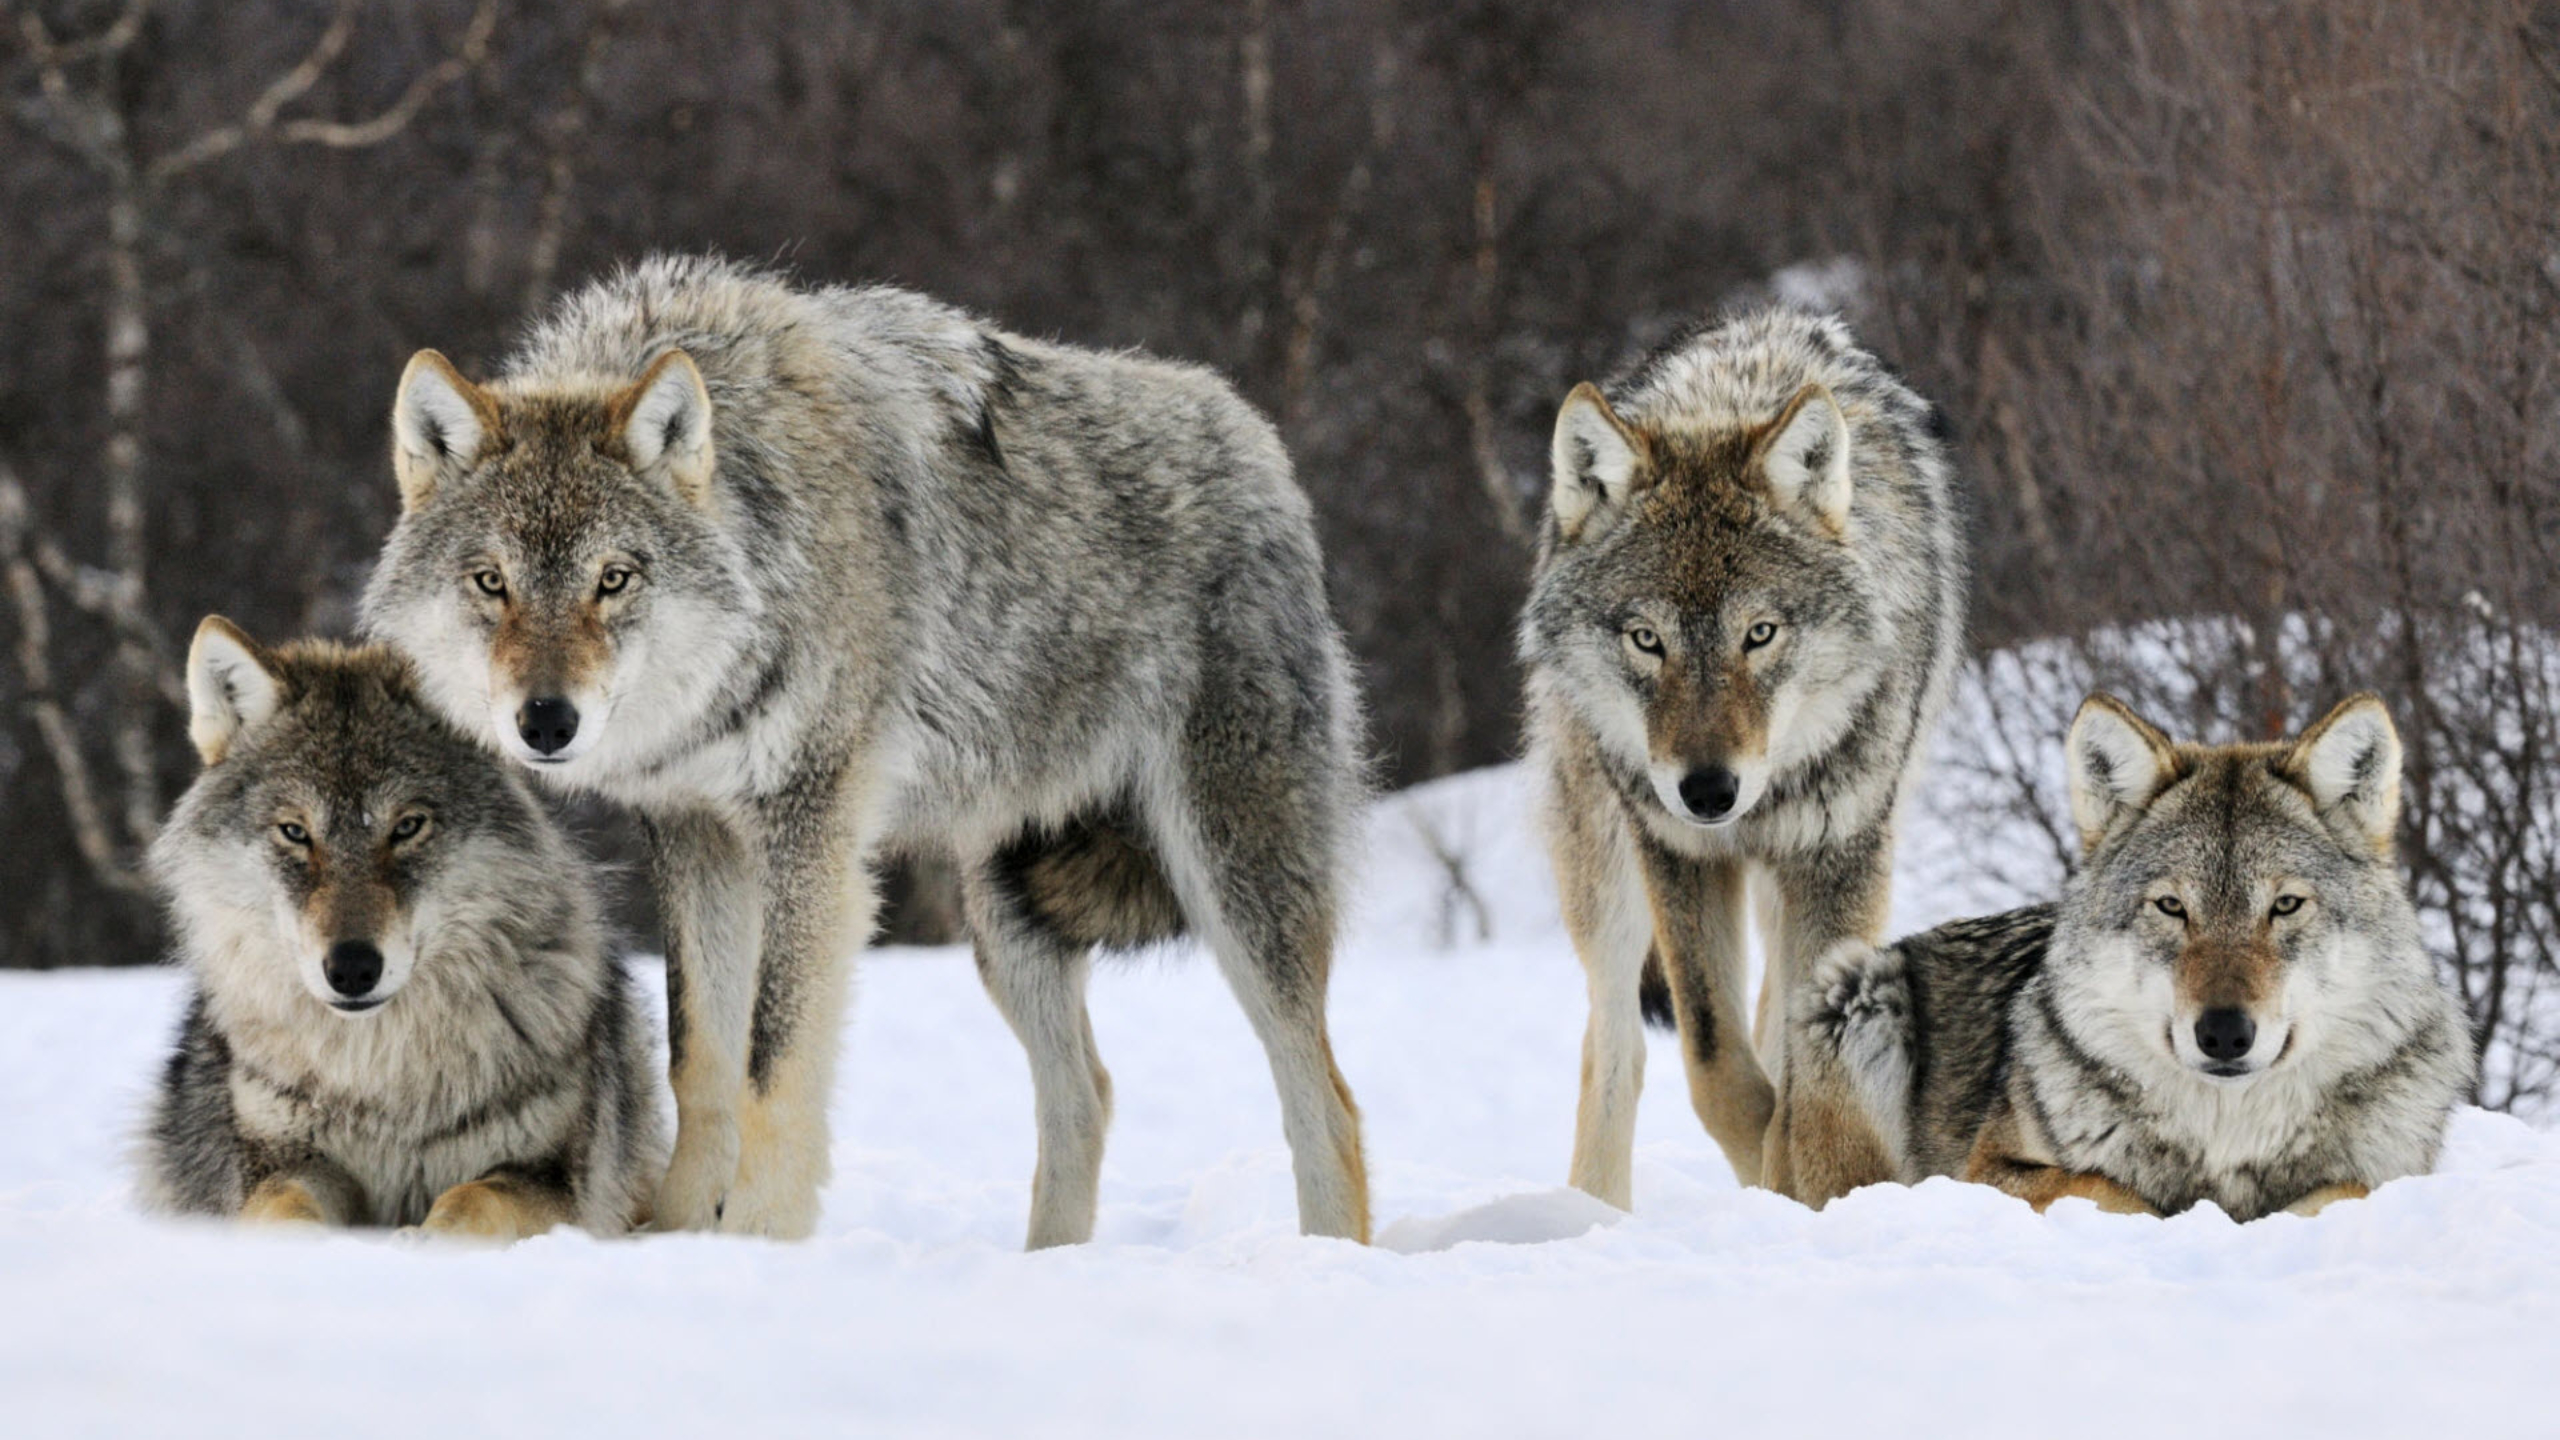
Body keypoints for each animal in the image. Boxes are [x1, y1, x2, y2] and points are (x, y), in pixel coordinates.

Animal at [138, 617, 660, 1235]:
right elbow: (285, 1211)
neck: (382, 1077)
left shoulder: (549, 1178)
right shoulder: (283, 1163)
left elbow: (470, 1200)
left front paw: (422, 1243)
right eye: (295, 832)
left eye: (408, 826)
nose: (352, 968)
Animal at [355, 252, 1382, 1240]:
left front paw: (757, 1242)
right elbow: (700, 1061)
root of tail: (1259, 443)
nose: (546, 722)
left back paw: (1324, 1259)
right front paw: (678, 1236)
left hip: (1232, 884)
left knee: (1326, 1103)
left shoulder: (810, 831)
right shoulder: (696, 834)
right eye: (491, 581)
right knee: (1085, 1097)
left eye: (613, 579)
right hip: (1007, 918)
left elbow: (772, 1065)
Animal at [1505, 308, 1966, 1204]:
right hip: (1606, 868)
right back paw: (1592, 1211)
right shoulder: (1679, 853)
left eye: (1760, 633)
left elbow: (1802, 1069)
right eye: (1647, 640)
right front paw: (1772, 1178)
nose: (1709, 791)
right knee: (1614, 1045)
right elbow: (1716, 1066)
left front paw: (1806, 1180)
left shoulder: (1840, 854)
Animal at [1792, 691, 2467, 1214]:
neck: (2227, 1137)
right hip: (1855, 990)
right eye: (2171, 907)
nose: (2224, 1033)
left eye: (2285, 906)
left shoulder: (2389, 1175)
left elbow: (2346, 1190)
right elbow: (2111, 1189)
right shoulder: (1988, 1170)